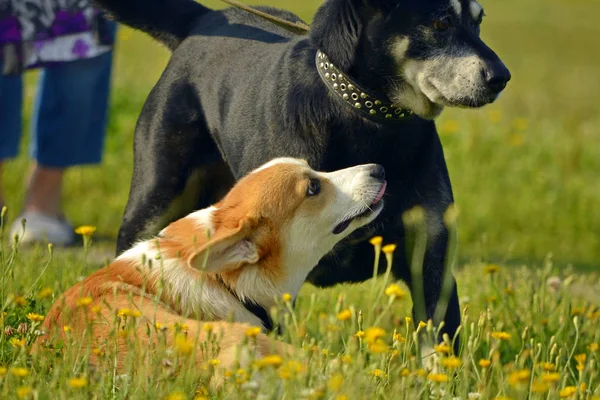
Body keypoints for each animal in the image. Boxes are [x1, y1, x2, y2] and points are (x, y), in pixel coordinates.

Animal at [95, 0, 510, 346]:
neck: (367, 119)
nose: (501, 77)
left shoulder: (431, 256)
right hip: (152, 201)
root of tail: (205, 18)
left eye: (478, 20)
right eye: (441, 22)